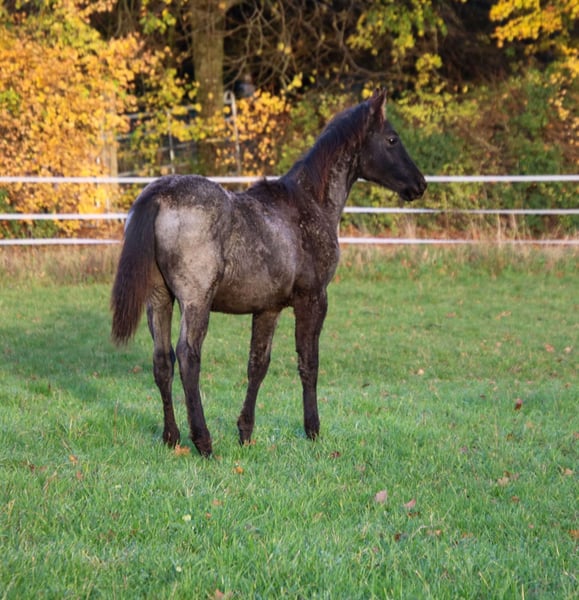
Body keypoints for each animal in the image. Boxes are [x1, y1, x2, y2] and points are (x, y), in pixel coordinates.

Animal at [111, 89, 426, 456]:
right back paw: (203, 441)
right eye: (392, 139)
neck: (308, 203)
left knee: (163, 361)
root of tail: (159, 195)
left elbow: (257, 365)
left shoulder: (267, 308)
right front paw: (312, 430)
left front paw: (246, 432)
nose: (420, 184)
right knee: (188, 357)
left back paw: (171, 437)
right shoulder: (313, 299)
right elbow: (309, 362)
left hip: (160, 299)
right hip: (196, 301)